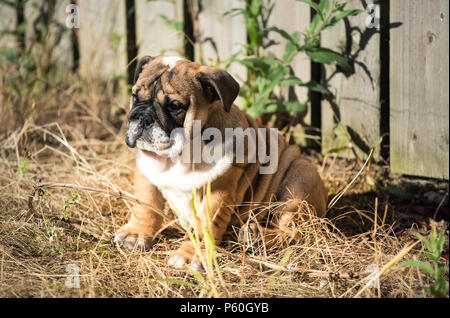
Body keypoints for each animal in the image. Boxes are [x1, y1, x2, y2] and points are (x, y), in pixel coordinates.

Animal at [114, 55, 326, 268]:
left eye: (174, 106)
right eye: (135, 96)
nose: (143, 117)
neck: (178, 158)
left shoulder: (216, 193)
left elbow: (204, 228)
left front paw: (191, 255)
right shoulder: (146, 173)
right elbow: (145, 206)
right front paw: (135, 234)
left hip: (299, 179)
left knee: (294, 231)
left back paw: (256, 236)